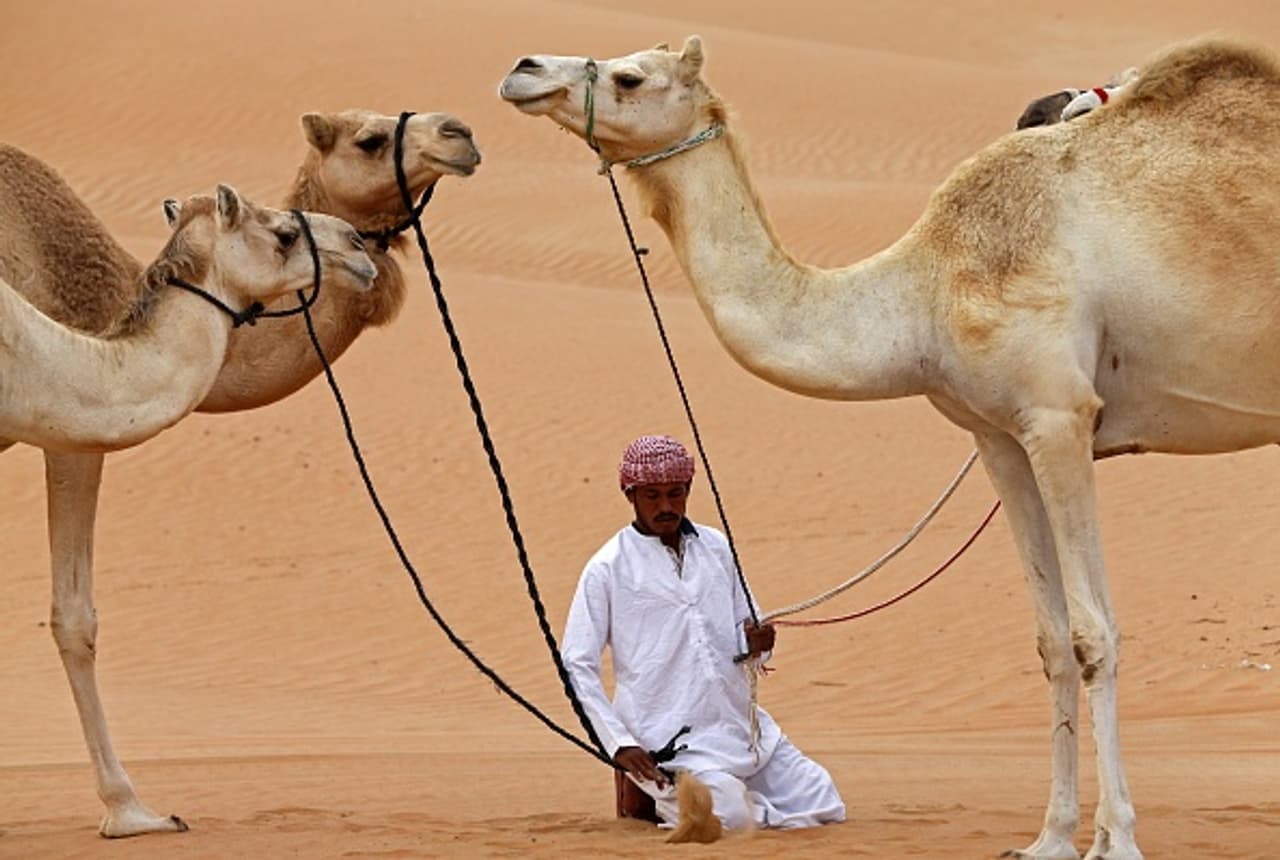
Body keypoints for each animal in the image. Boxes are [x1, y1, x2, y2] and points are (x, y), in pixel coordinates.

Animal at [500, 34, 1280, 860]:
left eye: (629, 77)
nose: (522, 69)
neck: (921, 295)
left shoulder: (1059, 416)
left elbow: (1094, 634)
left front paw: (1118, 840)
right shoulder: (1000, 435)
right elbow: (1052, 641)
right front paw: (1051, 838)